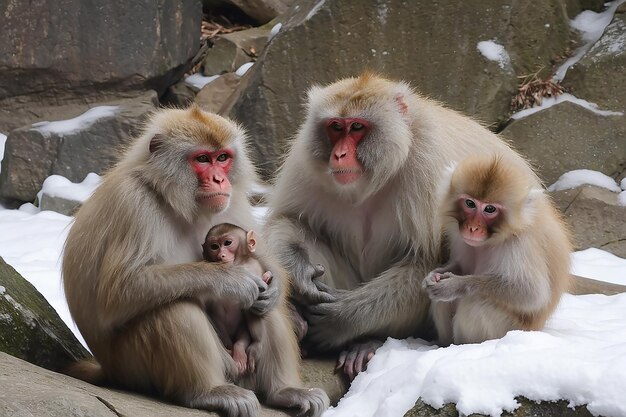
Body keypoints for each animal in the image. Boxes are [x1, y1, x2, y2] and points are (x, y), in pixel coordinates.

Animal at [202, 223, 270, 376]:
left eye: (228, 243)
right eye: (214, 246)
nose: (221, 255)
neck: (238, 264)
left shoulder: (253, 268)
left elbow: (253, 304)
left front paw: (256, 345)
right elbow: (212, 307)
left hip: (241, 328)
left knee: (243, 335)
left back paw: (241, 349)